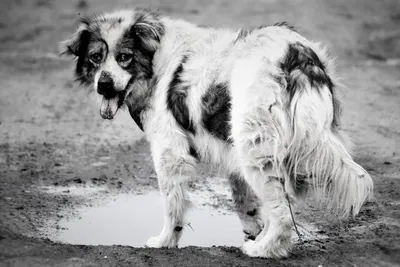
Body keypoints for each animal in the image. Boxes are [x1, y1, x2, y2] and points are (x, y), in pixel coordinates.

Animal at [61, 8, 374, 260]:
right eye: (96, 58)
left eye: (124, 57)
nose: (103, 84)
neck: (155, 60)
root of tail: (296, 55)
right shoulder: (230, 152)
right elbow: (244, 202)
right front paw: (253, 229)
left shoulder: (170, 153)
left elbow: (173, 205)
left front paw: (165, 241)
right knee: (280, 204)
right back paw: (262, 241)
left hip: (256, 151)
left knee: (283, 211)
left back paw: (264, 250)